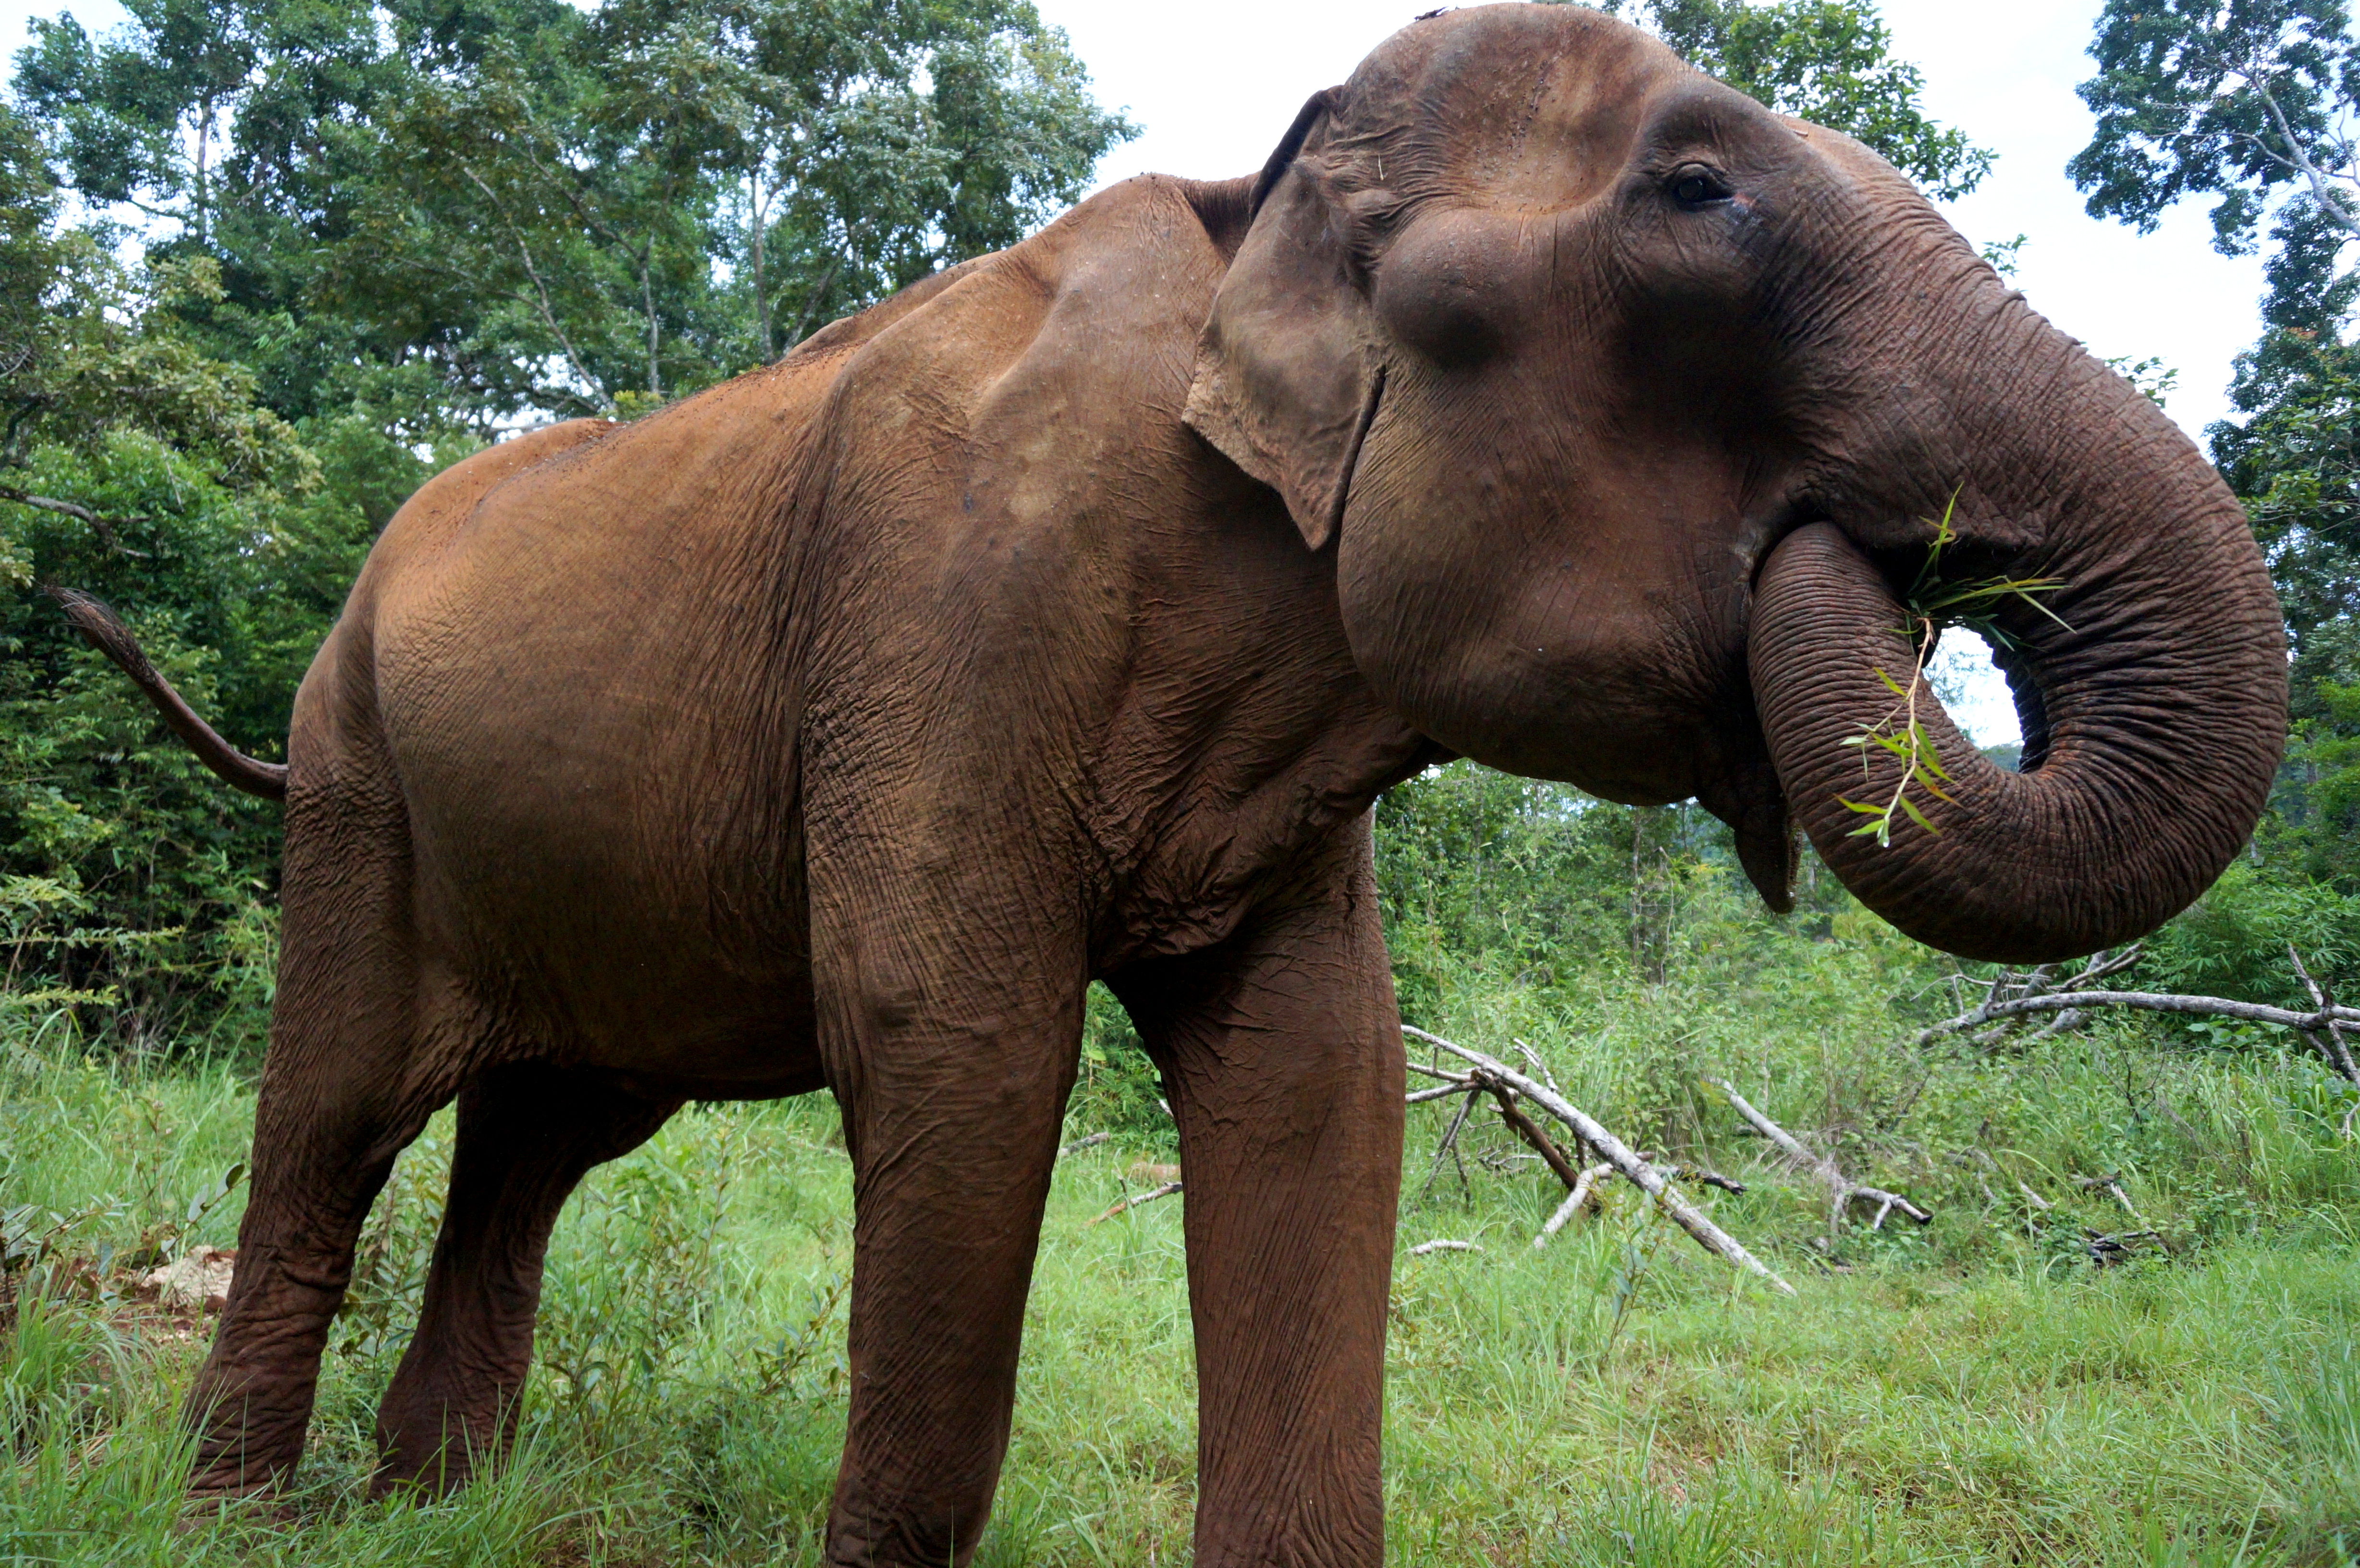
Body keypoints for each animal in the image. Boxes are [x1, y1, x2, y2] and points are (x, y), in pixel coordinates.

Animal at [55, 4, 2284, 1563]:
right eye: (1700, 201)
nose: (1859, 554)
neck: (1256, 210)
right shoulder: (947, 612)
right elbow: (958, 1045)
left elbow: (1318, 1077)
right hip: (356, 780)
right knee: (334, 1116)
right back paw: (243, 1521)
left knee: (537, 1140)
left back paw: (433, 1510)